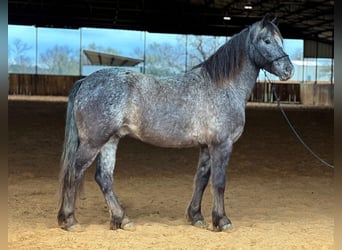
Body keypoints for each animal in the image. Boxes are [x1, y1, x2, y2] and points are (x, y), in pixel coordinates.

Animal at [56, 14, 294, 231]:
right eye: (266, 40)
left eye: (281, 40)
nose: (288, 69)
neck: (222, 87)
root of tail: (85, 81)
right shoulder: (221, 144)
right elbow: (219, 182)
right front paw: (222, 221)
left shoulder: (206, 146)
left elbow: (201, 179)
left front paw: (196, 217)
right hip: (93, 143)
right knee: (74, 172)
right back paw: (70, 221)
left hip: (110, 141)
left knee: (103, 178)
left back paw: (122, 219)